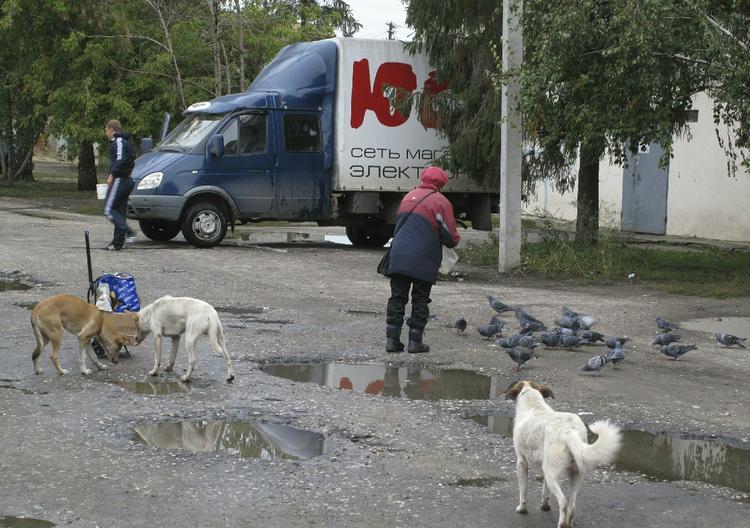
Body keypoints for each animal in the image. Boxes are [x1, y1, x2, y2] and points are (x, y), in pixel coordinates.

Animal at [508, 380, 624, 528]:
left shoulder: (521, 463)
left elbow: (523, 491)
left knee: (563, 501)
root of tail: (568, 431)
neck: (533, 404)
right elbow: (545, 491)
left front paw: (522, 509)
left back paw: (562, 523)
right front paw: (544, 505)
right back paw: (569, 522)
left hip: (552, 474)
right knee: (572, 504)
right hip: (575, 474)